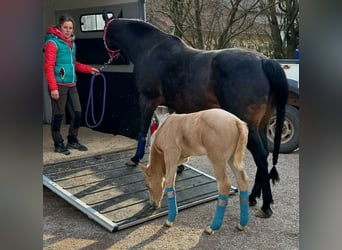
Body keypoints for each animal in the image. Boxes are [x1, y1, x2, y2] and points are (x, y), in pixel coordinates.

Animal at [102, 14, 288, 217]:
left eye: (104, 31)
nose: (111, 57)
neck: (150, 48)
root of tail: (264, 62)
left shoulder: (147, 100)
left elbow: (142, 130)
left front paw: (135, 159)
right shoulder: (176, 107)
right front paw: (180, 166)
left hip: (248, 126)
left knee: (260, 156)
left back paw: (266, 204)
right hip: (261, 125)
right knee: (264, 156)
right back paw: (254, 196)